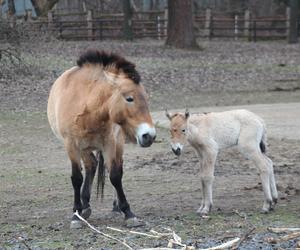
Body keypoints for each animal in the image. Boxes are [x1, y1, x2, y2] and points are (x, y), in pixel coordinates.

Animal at [47, 50, 156, 229]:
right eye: (129, 98)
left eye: (146, 98)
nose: (149, 136)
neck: (89, 109)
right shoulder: (71, 145)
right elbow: (76, 178)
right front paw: (76, 215)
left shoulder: (109, 144)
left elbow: (115, 176)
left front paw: (128, 213)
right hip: (84, 148)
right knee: (91, 165)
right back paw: (84, 206)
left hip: (116, 144)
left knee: (111, 167)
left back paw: (115, 206)